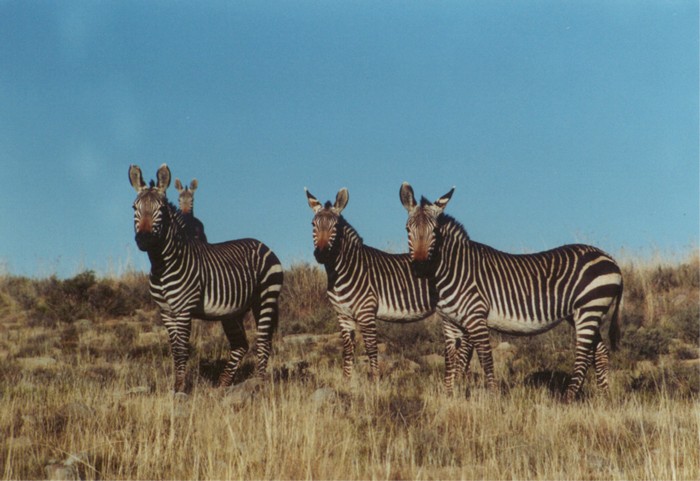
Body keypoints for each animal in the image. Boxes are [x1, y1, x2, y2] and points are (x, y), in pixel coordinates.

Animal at [129, 164, 282, 390]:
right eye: (134, 207)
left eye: (162, 209)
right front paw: (176, 385)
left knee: (263, 342)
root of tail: (261, 243)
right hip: (232, 311)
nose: (144, 239)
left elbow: (182, 349)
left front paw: (181, 388)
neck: (162, 264)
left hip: (265, 298)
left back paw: (259, 384)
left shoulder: (183, 309)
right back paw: (223, 384)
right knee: (240, 345)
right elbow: (174, 350)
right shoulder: (166, 311)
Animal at [306, 188, 470, 378]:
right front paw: (346, 381)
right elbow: (347, 352)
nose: (322, 254)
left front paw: (375, 382)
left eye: (335, 226)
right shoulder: (343, 315)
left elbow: (371, 350)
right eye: (313, 224)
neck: (342, 270)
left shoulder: (366, 312)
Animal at [400, 182, 624, 400]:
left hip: (590, 308)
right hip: (580, 313)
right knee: (600, 353)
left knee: (584, 356)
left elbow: (485, 360)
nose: (419, 268)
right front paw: (451, 397)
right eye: (407, 229)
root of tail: (610, 259)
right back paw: (603, 398)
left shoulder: (475, 318)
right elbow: (452, 362)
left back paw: (568, 398)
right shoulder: (450, 323)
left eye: (435, 231)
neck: (453, 270)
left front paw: (492, 398)